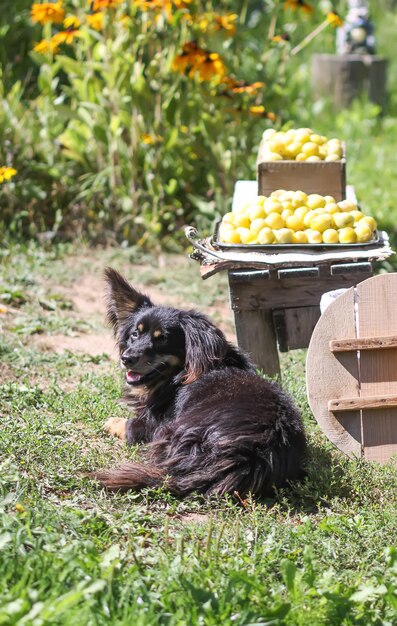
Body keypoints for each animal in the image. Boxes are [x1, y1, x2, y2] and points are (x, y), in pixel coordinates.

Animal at [93, 268, 306, 498]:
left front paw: (112, 422)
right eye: (135, 334)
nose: (127, 358)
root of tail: (246, 456)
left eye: (162, 339)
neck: (178, 376)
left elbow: (129, 425)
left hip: (168, 431)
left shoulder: (151, 426)